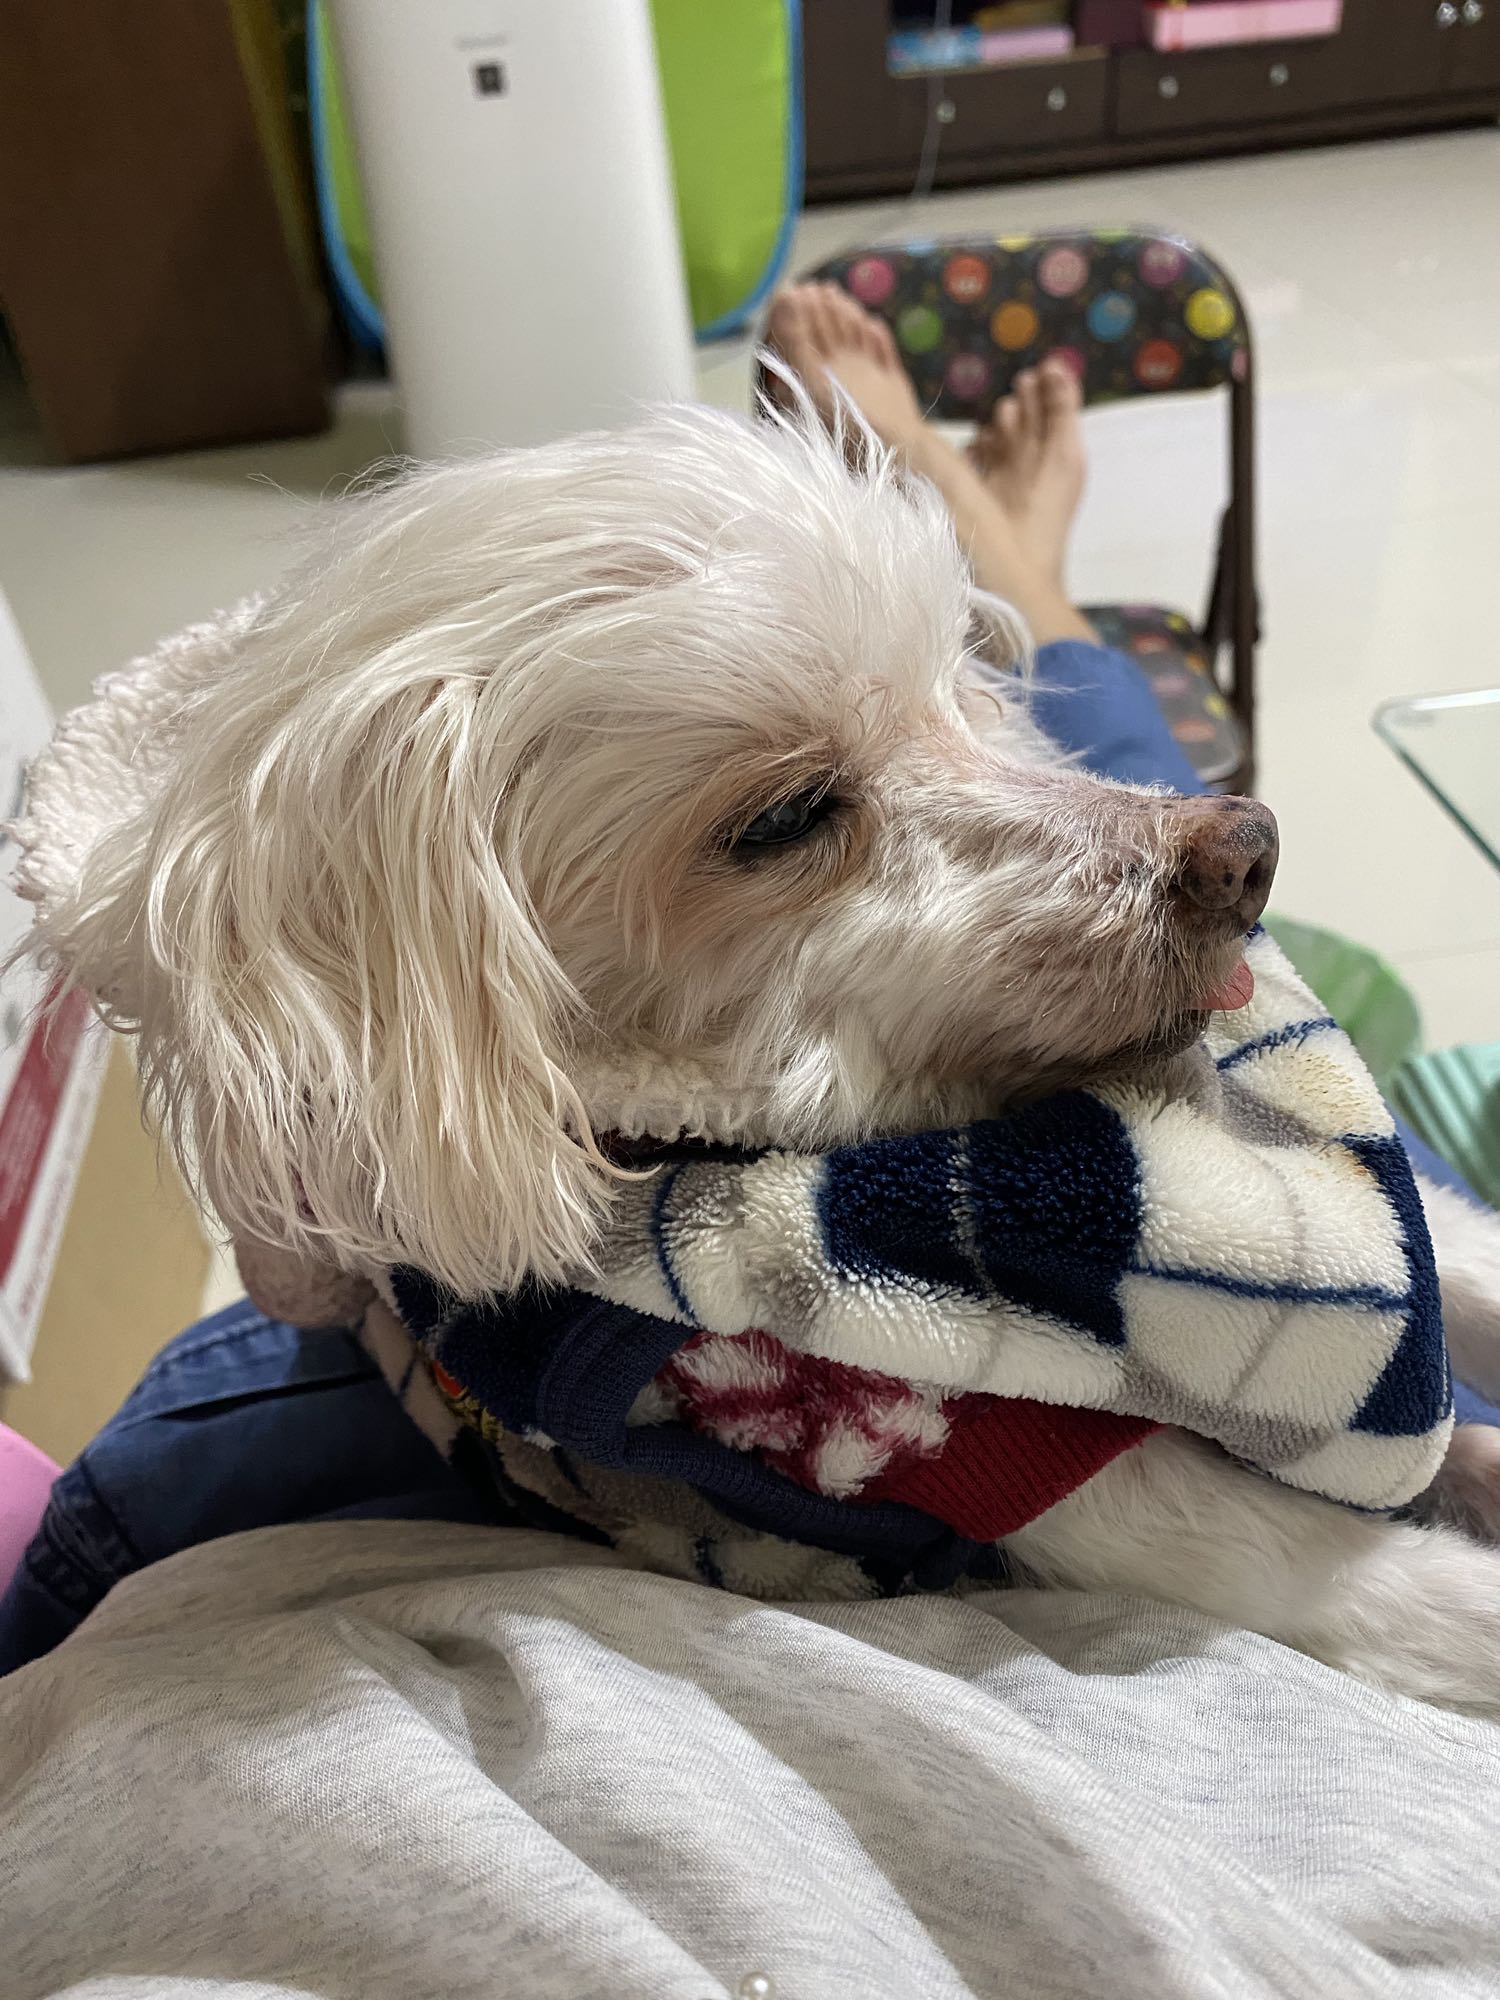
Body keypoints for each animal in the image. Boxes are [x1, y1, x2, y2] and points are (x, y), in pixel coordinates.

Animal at [17, 399, 1500, 1716]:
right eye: (785, 817)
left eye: (965, 698)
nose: (1247, 849)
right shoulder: (1053, 1476)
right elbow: (1397, 1592)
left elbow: (1468, 1256)